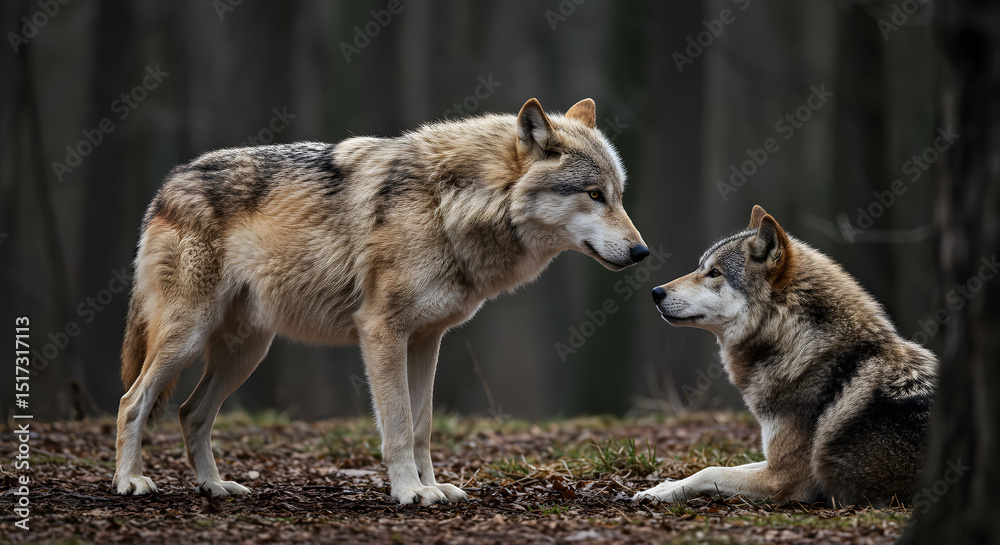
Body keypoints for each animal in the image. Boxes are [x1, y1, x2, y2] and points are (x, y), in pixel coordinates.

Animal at [113, 98, 649, 505]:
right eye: (593, 195)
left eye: (620, 196)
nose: (642, 252)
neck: (449, 205)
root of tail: (168, 184)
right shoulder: (381, 332)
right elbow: (397, 423)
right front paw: (410, 491)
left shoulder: (427, 340)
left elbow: (423, 425)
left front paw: (434, 488)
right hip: (188, 338)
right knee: (132, 401)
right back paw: (130, 481)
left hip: (246, 352)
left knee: (190, 413)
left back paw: (215, 486)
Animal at [633, 205, 937, 506]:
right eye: (701, 268)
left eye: (715, 273)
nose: (655, 292)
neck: (803, 345)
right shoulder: (772, 461)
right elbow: (721, 466)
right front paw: (662, 486)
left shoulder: (783, 479)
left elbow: (709, 471)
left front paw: (659, 492)